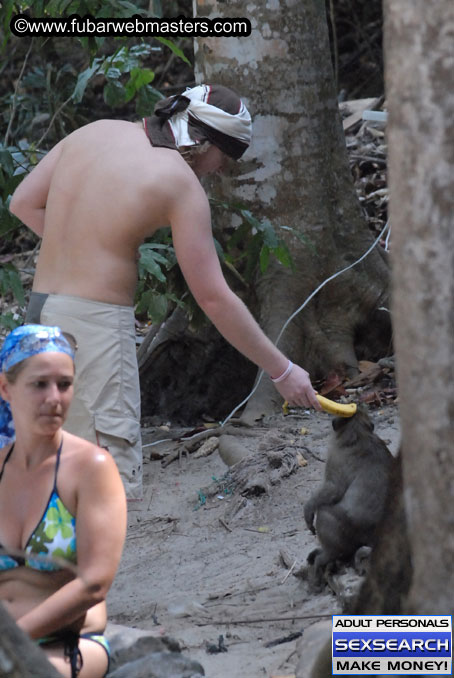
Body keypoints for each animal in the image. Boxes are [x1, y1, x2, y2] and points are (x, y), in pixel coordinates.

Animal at [306, 406, 394, 592]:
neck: (358, 434)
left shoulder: (336, 458)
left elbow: (333, 489)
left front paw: (308, 510)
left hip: (347, 532)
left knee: (325, 514)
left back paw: (322, 560)